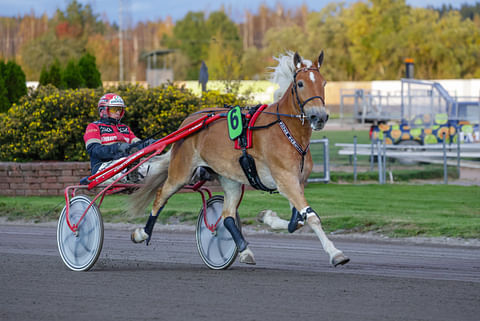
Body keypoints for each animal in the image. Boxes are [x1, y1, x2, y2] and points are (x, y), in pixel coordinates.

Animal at [129, 50, 350, 264]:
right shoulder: (286, 180)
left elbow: (298, 220)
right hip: (181, 172)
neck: (286, 130)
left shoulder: (296, 181)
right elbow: (311, 218)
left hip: (229, 179)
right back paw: (142, 233)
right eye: (301, 83)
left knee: (227, 216)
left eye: (323, 83)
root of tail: (188, 122)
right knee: (160, 196)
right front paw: (335, 253)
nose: (319, 116)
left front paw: (266, 217)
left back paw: (244, 250)